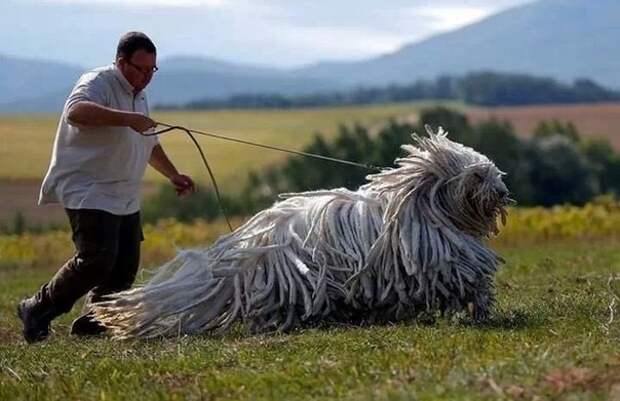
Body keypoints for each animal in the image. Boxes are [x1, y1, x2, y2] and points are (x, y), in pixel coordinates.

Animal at [92, 126, 512, 338]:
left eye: (492, 171)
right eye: (478, 175)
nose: (502, 192)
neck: (422, 203)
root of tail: (244, 245)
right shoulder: (440, 258)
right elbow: (468, 278)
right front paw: (480, 306)